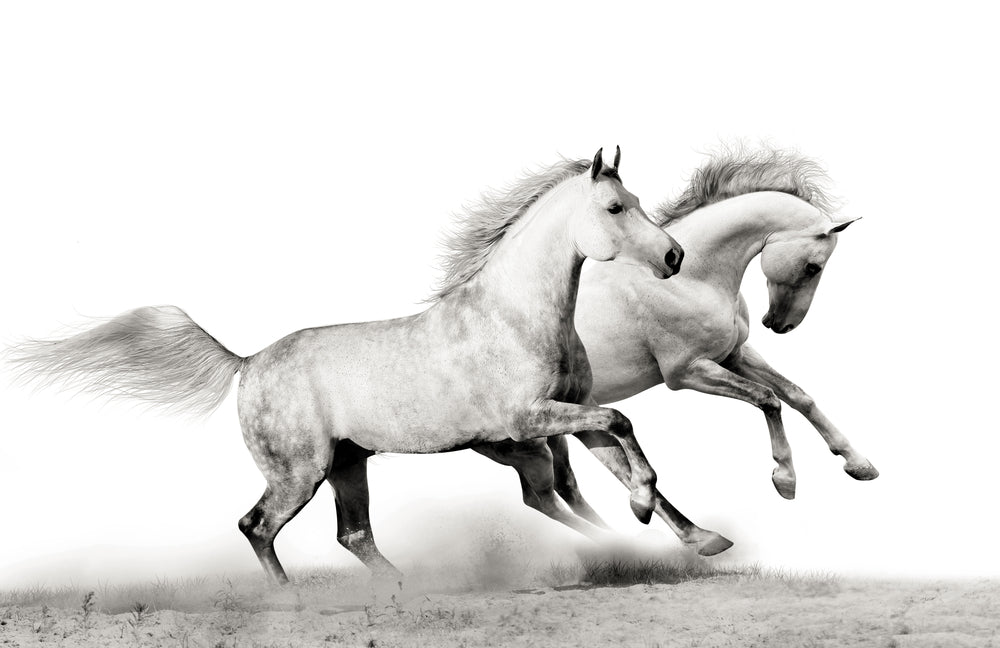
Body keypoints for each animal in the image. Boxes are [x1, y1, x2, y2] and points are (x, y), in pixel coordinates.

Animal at [7, 148, 685, 584]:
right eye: (616, 208)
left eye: (635, 200)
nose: (675, 256)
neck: (513, 318)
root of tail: (246, 363)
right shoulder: (529, 420)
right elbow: (618, 429)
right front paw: (642, 513)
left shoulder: (567, 412)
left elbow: (617, 447)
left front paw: (668, 527)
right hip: (298, 473)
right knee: (257, 526)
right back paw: (290, 603)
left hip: (348, 464)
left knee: (354, 534)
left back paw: (406, 589)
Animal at [473, 147, 876, 556]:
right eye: (813, 266)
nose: (779, 324)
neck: (694, 278)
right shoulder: (688, 372)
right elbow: (768, 399)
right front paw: (785, 479)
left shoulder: (733, 355)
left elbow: (798, 395)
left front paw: (858, 464)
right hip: (530, 441)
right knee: (552, 494)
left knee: (566, 489)